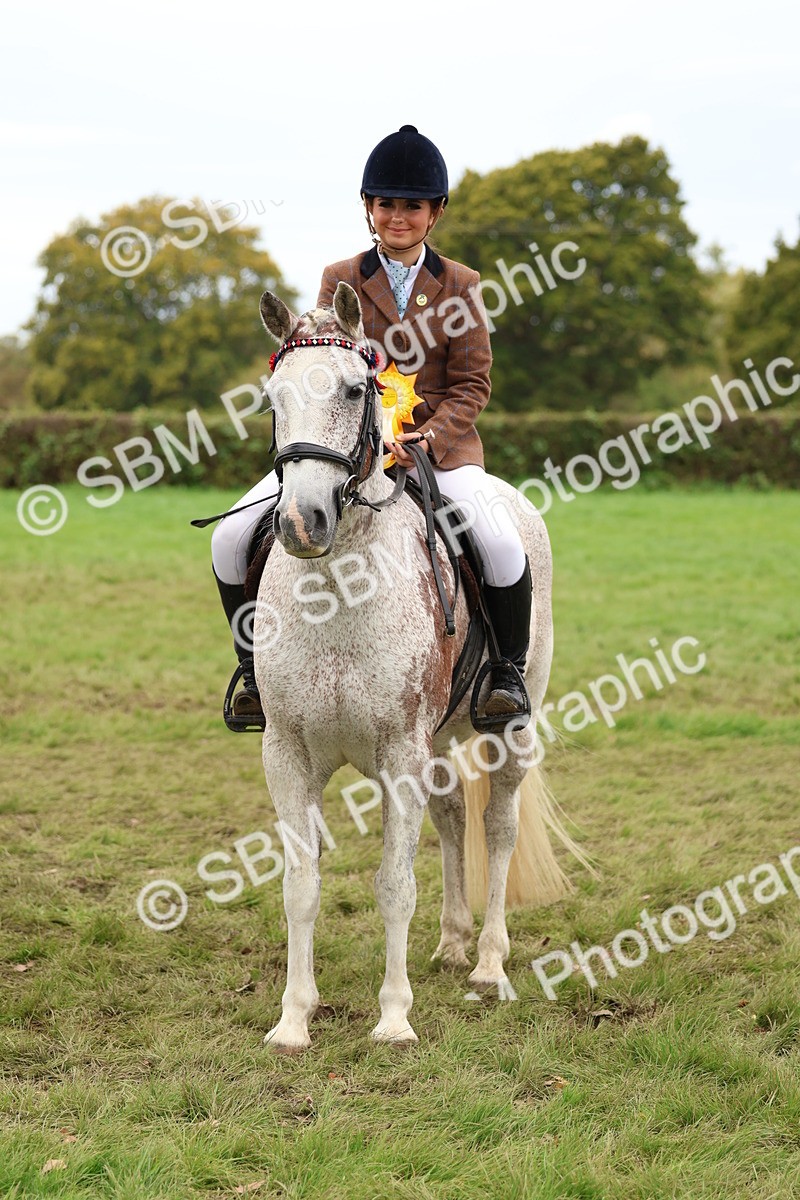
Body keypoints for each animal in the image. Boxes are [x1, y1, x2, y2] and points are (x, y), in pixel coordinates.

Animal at [253, 282, 584, 1052]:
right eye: (272, 399)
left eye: (355, 388)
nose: (301, 524)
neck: (335, 591)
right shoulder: (288, 754)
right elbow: (301, 886)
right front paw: (293, 1019)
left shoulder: (398, 751)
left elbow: (393, 885)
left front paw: (394, 1017)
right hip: (437, 739)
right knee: (452, 816)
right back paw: (454, 941)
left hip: (509, 730)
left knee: (497, 825)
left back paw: (488, 963)